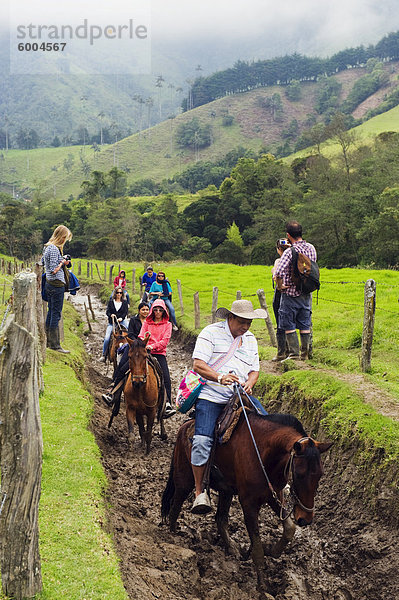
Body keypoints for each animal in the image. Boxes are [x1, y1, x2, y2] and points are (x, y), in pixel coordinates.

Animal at [161, 408, 332, 600]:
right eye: (300, 474)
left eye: (320, 474)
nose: (305, 518)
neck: (264, 452)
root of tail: (184, 427)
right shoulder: (249, 504)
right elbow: (257, 548)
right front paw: (263, 585)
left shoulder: (274, 494)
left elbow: (289, 529)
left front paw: (271, 550)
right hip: (184, 478)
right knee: (176, 504)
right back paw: (174, 535)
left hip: (226, 490)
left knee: (220, 519)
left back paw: (232, 549)